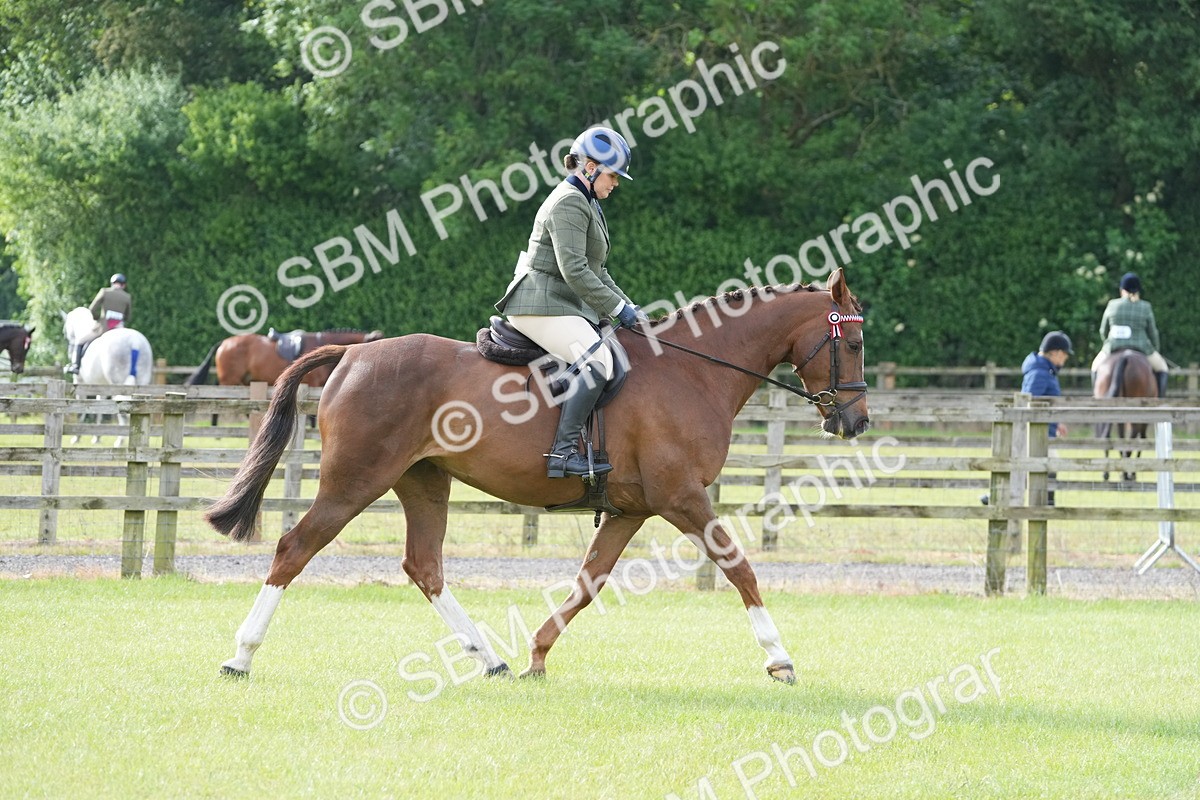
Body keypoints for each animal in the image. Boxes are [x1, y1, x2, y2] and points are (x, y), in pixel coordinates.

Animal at [62, 307, 154, 446]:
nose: (69, 349)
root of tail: (134, 343)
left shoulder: (81, 383)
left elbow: (81, 410)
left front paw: (77, 437)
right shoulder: (102, 387)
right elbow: (101, 409)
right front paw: (97, 437)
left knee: (123, 410)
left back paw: (120, 440)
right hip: (141, 383)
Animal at [206, 269, 870, 685]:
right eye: (856, 342)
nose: (857, 421)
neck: (692, 372)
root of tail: (353, 353)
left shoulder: (632, 509)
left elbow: (588, 582)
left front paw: (537, 655)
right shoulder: (681, 497)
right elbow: (739, 567)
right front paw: (779, 659)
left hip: (423, 480)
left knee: (425, 565)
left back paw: (489, 659)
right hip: (354, 482)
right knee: (295, 547)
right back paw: (240, 656)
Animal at [1093, 348, 1157, 482]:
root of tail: (1125, 357)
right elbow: (1141, 439)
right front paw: (1133, 473)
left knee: (1108, 436)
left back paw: (1107, 473)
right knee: (1134, 435)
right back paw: (1126, 472)